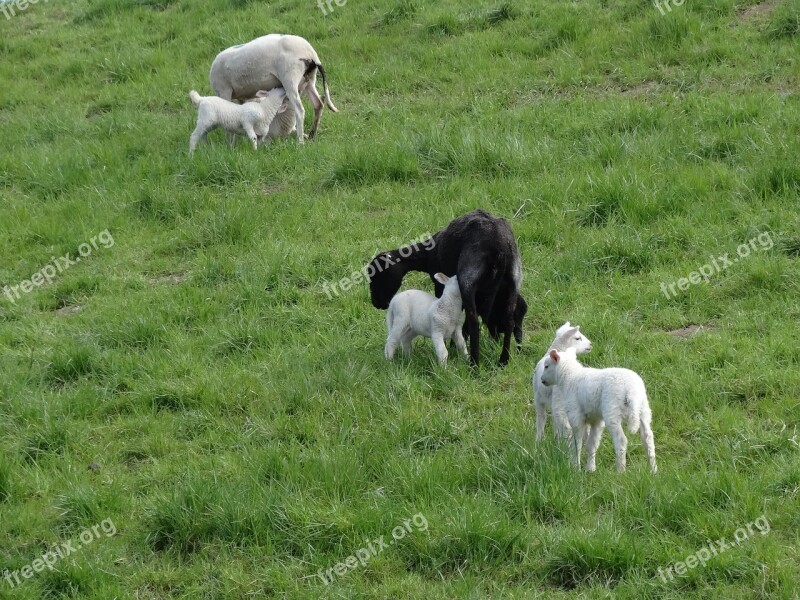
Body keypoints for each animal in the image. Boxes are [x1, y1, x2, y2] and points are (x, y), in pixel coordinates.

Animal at [209, 34, 338, 142]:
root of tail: (310, 53)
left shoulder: (224, 91)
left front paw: (230, 144)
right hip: (309, 80)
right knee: (318, 104)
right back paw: (312, 135)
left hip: (290, 78)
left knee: (300, 110)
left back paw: (300, 141)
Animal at [368, 211, 524, 370]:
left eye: (377, 275)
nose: (376, 303)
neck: (426, 255)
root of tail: (499, 247)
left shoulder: (440, 284)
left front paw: (451, 346)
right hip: (514, 281)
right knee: (509, 322)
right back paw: (503, 361)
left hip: (467, 277)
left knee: (474, 322)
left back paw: (474, 364)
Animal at [536, 346, 656, 474]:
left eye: (546, 366)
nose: (542, 380)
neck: (570, 377)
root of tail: (631, 390)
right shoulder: (596, 420)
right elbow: (591, 444)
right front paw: (590, 468)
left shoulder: (575, 415)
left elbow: (577, 443)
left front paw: (575, 466)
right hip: (643, 409)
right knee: (648, 437)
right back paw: (653, 469)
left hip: (612, 410)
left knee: (621, 440)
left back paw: (620, 471)